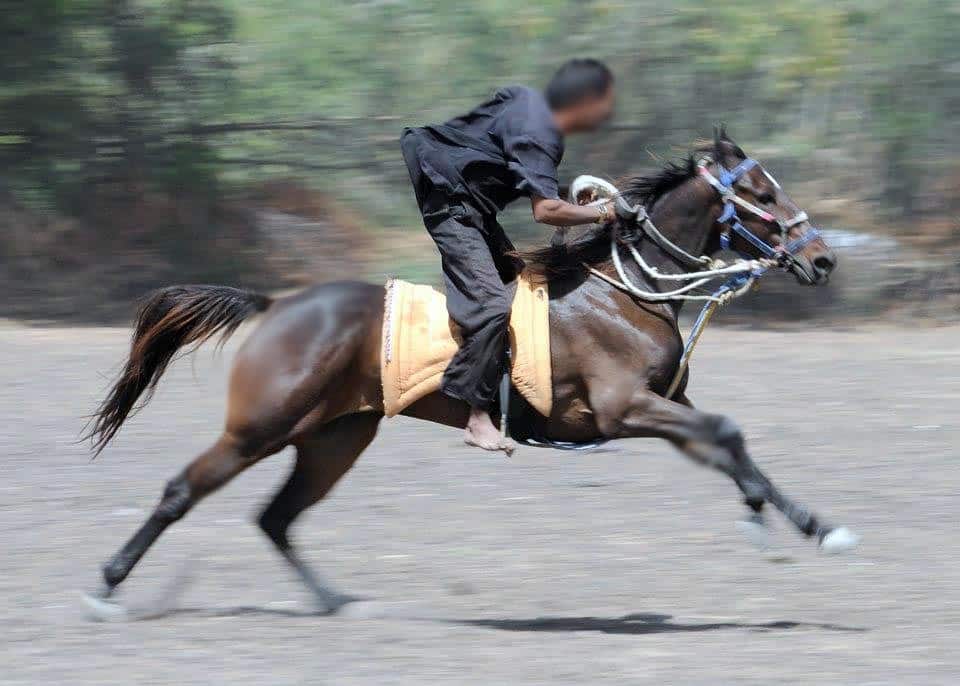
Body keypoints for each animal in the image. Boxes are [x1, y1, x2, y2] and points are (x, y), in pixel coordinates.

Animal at [86, 127, 860, 620]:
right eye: (763, 191)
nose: (822, 257)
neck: (626, 288)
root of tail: (277, 305)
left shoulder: (661, 412)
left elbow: (728, 442)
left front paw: (804, 524)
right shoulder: (623, 408)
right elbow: (727, 432)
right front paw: (783, 523)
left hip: (335, 438)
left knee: (275, 518)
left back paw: (336, 602)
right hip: (259, 428)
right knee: (182, 491)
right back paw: (105, 587)